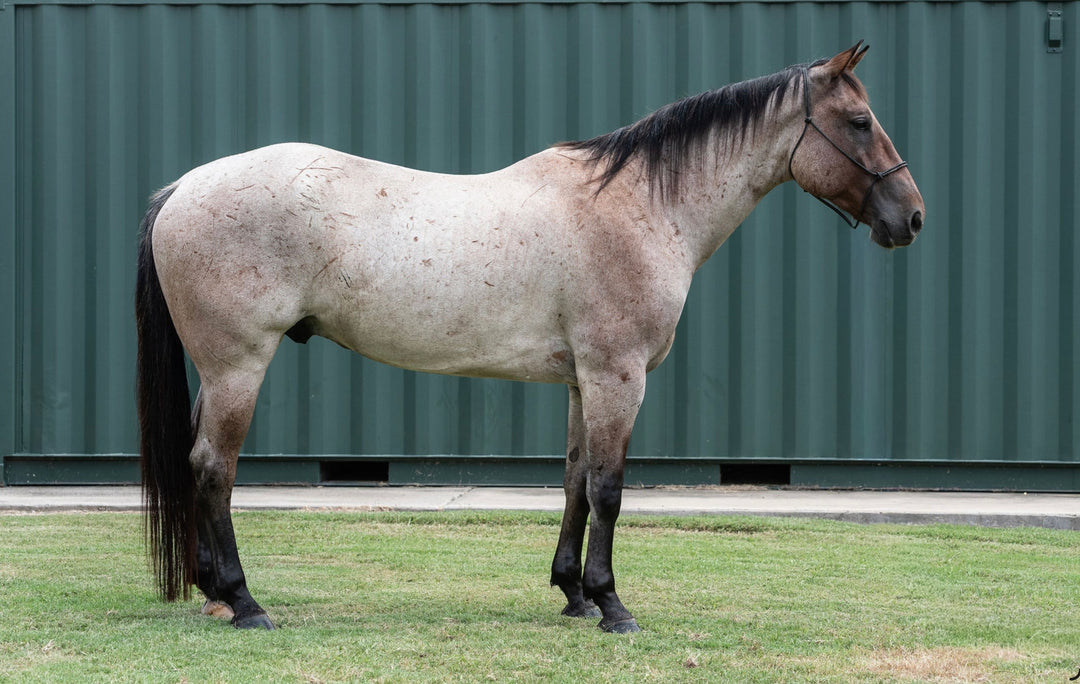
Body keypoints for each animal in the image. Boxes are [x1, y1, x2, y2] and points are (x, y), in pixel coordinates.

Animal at [136, 42, 924, 633]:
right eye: (859, 121)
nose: (911, 217)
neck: (641, 207)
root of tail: (182, 189)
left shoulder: (583, 381)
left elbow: (575, 480)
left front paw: (573, 593)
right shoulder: (618, 376)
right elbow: (608, 488)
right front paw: (613, 605)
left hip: (219, 370)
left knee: (199, 463)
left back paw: (213, 591)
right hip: (240, 365)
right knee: (214, 467)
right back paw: (245, 602)